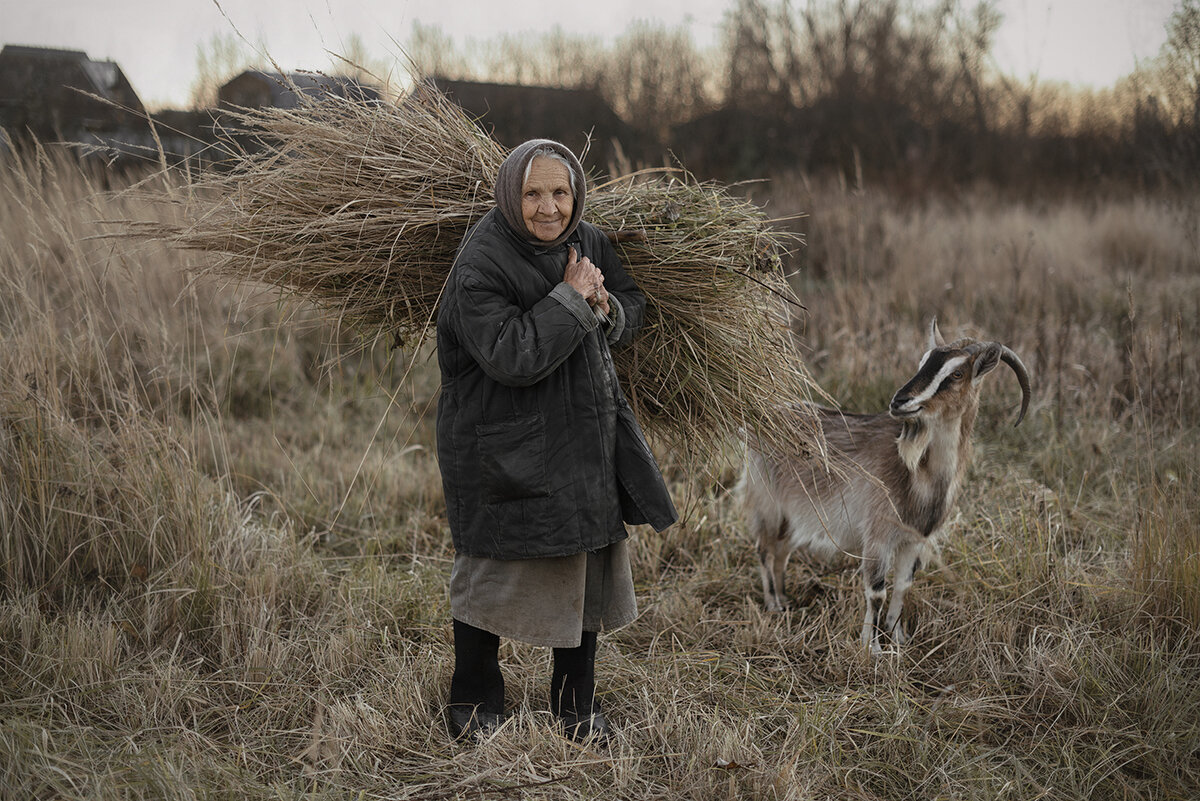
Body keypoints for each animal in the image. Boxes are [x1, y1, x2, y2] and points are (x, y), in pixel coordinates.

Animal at [739, 318, 1032, 652]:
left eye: (957, 373)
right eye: (922, 362)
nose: (900, 401)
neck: (918, 474)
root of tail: (760, 418)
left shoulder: (913, 539)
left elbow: (903, 585)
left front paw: (898, 636)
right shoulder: (878, 535)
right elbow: (876, 590)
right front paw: (872, 648)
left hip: (793, 512)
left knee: (781, 551)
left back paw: (785, 600)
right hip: (768, 502)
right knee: (764, 549)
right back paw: (774, 605)